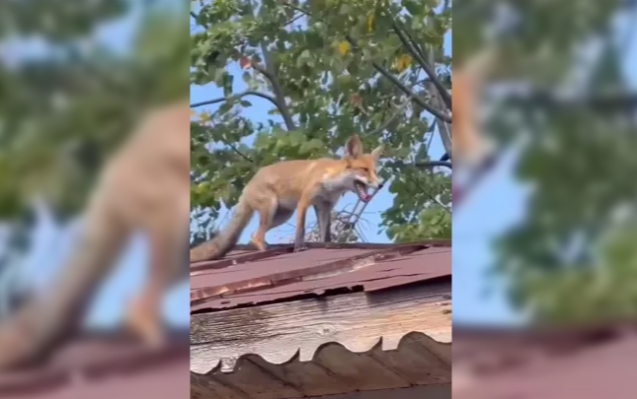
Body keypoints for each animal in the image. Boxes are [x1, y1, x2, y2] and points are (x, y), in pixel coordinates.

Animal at [190, 134, 382, 262]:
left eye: (375, 172)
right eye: (364, 170)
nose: (380, 185)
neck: (331, 181)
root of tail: (247, 188)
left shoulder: (324, 206)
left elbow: (324, 235)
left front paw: (325, 246)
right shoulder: (304, 202)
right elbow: (301, 229)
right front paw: (298, 247)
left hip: (282, 215)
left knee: (254, 234)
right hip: (271, 207)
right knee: (256, 236)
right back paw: (265, 250)